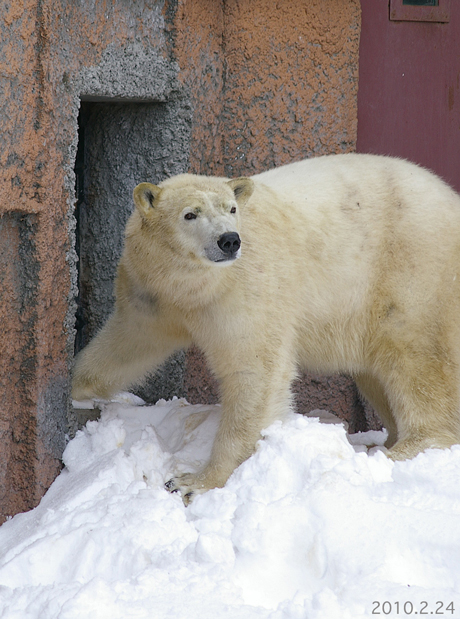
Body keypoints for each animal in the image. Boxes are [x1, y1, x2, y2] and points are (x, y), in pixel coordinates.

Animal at [72, 154, 460, 504]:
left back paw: (397, 451)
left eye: (231, 209)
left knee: (415, 359)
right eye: (190, 214)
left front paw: (193, 483)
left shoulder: (246, 287)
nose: (229, 240)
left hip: (412, 271)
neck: (193, 285)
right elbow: (127, 343)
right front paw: (78, 392)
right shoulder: (154, 294)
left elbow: (254, 370)